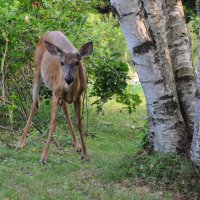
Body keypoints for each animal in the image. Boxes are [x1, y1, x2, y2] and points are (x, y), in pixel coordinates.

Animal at [17, 30, 93, 163]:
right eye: (61, 63)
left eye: (77, 62)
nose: (68, 78)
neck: (71, 90)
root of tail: (48, 32)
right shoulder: (56, 94)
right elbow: (53, 122)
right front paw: (43, 157)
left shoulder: (78, 96)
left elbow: (79, 123)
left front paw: (85, 154)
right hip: (37, 71)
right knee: (33, 106)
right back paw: (20, 144)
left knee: (65, 110)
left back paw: (77, 145)